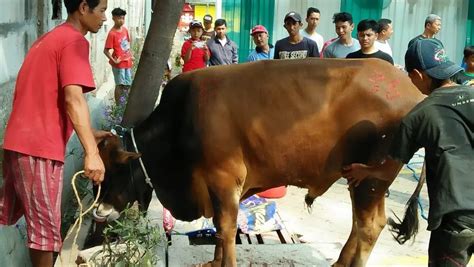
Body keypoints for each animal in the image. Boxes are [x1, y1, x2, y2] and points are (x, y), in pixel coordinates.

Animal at [95, 58, 422, 266]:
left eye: (115, 172)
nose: (99, 212)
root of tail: (413, 92)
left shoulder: (224, 179)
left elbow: (227, 228)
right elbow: (219, 227)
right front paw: (213, 262)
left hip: (371, 180)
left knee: (369, 226)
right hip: (359, 180)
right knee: (360, 223)